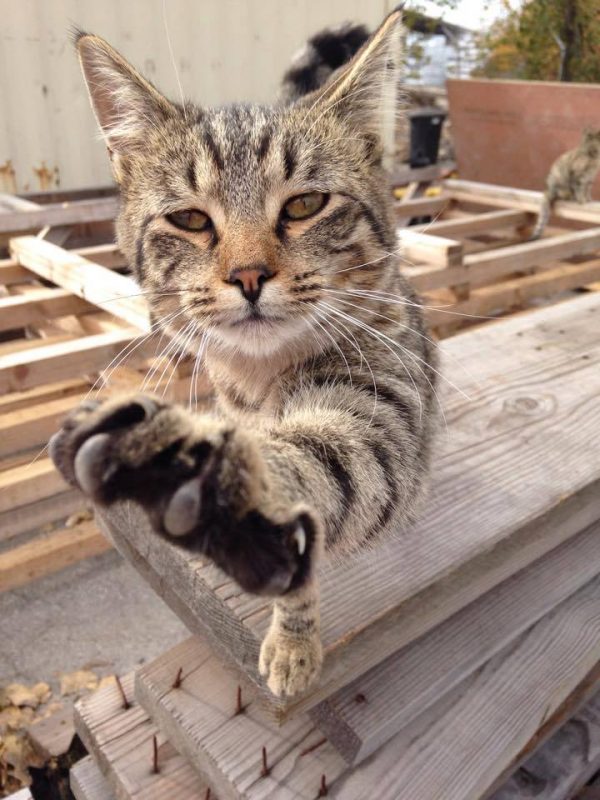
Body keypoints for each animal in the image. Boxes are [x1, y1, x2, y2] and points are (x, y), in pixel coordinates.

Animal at [50, 9, 436, 696]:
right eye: (189, 219)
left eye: (306, 203)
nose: (249, 275)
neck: (256, 380)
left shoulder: (377, 412)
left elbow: (317, 471)